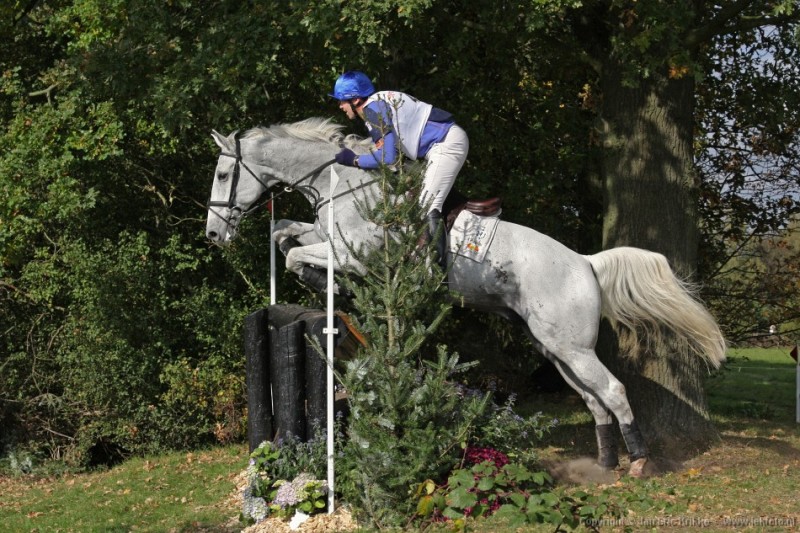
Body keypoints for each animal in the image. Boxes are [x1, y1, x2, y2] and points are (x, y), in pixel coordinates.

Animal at [205, 116, 724, 474]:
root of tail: (586, 263)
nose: (213, 235)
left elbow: (297, 252)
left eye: (223, 176)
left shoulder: (357, 255)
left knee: (612, 391)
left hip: (571, 345)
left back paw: (637, 463)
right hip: (555, 347)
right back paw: (604, 465)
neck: (345, 185)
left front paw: (324, 284)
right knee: (593, 399)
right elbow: (285, 234)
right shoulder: (326, 234)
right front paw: (315, 275)